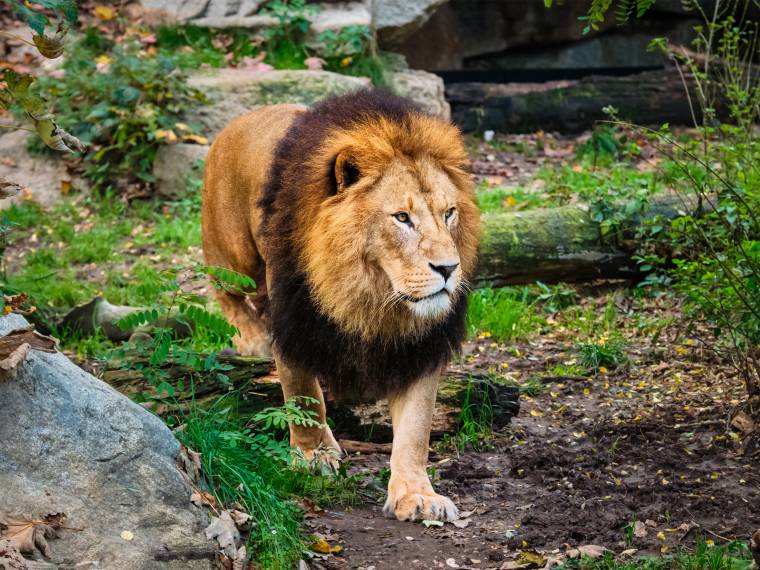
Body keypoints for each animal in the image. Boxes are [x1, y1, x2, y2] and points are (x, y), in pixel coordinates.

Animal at [201, 89, 480, 522]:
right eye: (402, 218)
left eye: (449, 213)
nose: (449, 268)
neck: (372, 293)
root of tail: (241, 118)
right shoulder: (295, 317)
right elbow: (303, 394)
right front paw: (314, 456)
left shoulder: (420, 346)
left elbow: (416, 428)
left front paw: (417, 494)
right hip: (233, 257)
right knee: (221, 287)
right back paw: (252, 339)